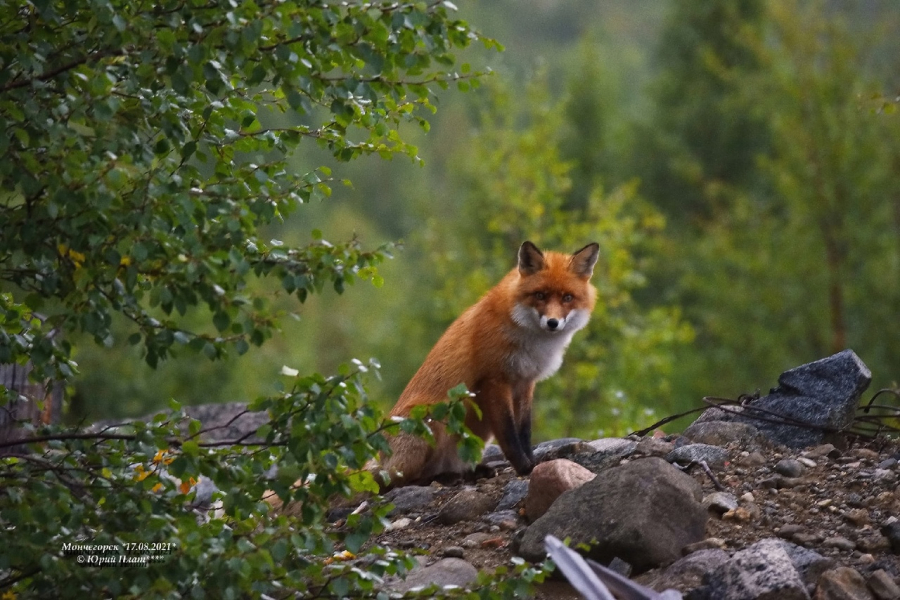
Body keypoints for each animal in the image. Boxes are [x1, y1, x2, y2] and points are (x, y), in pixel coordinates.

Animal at [378, 241, 600, 489]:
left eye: (567, 298)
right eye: (540, 295)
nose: (553, 323)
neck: (531, 342)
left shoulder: (525, 382)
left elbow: (524, 431)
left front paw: (532, 462)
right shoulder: (494, 381)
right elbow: (509, 435)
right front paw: (524, 467)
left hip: (476, 428)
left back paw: (469, 472)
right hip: (435, 418)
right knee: (397, 482)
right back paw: (442, 477)